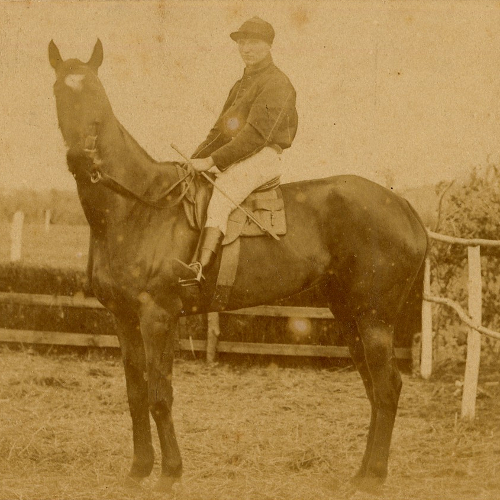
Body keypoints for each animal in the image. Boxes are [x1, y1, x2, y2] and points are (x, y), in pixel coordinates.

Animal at [48, 39, 428, 492]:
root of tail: (402, 204)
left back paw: (373, 479)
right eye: (59, 93)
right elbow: (136, 394)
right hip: (349, 316)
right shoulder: (123, 318)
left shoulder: (158, 317)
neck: (140, 207)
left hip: (374, 319)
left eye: (97, 95)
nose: (80, 158)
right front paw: (139, 469)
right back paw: (360, 474)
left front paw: (169, 473)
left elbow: (160, 395)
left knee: (387, 388)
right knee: (373, 388)